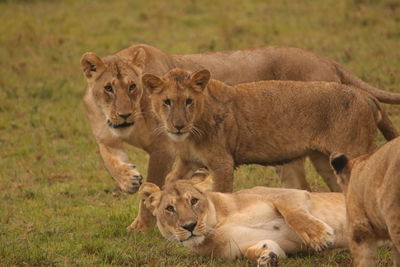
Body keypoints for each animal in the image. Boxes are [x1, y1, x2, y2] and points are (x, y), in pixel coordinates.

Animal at [138, 173, 346, 266]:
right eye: (169, 208)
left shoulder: (289, 194)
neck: (217, 226)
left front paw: (320, 236)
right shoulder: (244, 247)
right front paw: (265, 257)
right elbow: (258, 249)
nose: (189, 226)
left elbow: (294, 213)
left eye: (194, 201)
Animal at [143, 68, 396, 195]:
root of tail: (366, 95)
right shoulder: (188, 161)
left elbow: (220, 196)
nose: (177, 125)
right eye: (167, 102)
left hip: (353, 153)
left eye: (188, 101)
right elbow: (169, 180)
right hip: (326, 161)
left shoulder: (222, 163)